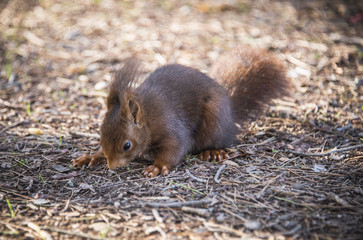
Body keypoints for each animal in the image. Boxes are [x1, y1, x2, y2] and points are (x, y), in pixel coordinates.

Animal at [73, 48, 290, 176]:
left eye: (127, 145)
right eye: (100, 137)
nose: (112, 166)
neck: (148, 118)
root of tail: (230, 110)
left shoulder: (170, 126)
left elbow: (175, 148)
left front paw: (158, 166)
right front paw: (92, 156)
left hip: (214, 121)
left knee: (218, 140)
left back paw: (213, 151)